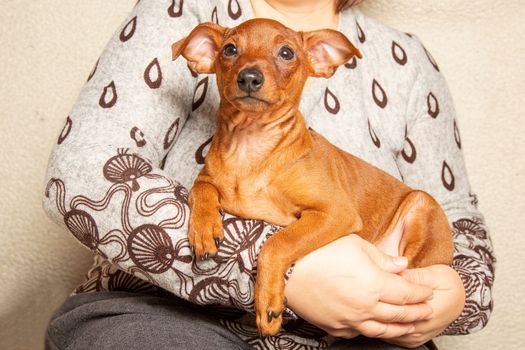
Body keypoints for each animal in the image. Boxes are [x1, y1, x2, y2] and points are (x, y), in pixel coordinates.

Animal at [171, 19, 450, 336]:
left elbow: (277, 243)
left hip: (421, 208)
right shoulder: (209, 179)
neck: (251, 147)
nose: (249, 78)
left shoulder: (336, 213)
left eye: (286, 53)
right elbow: (201, 188)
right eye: (230, 49)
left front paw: (268, 304)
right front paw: (204, 228)